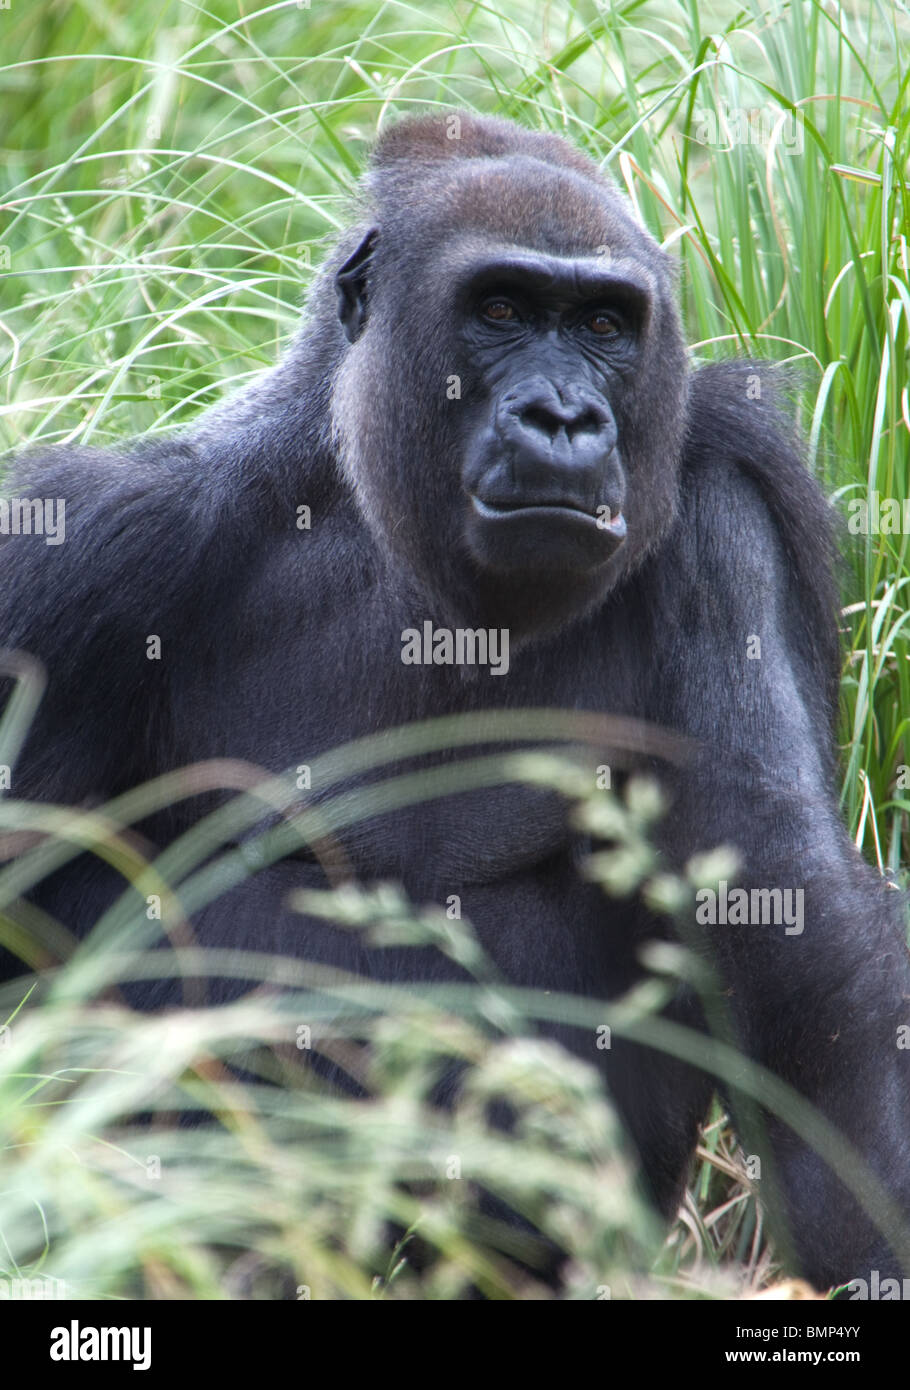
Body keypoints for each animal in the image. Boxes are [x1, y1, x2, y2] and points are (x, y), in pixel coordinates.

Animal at [1, 108, 910, 1289]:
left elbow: (794, 940)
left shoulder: (722, 502)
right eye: (502, 310)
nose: (563, 417)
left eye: (605, 324)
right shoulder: (82, 555)